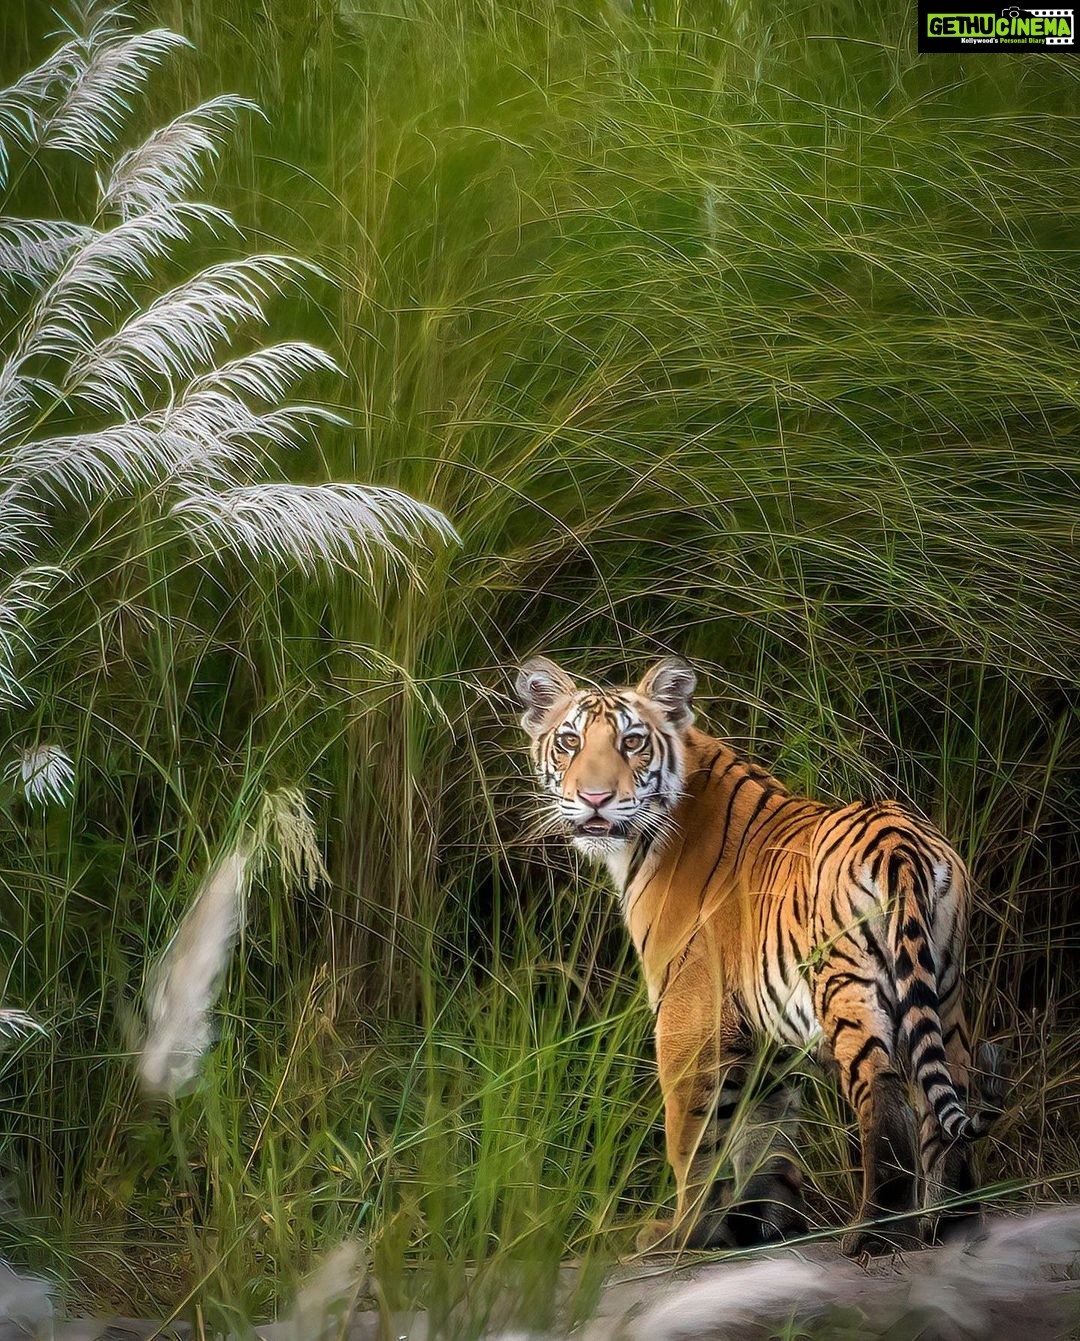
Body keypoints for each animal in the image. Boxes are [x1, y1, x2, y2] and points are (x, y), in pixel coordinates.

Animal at [515, 654, 1000, 1256]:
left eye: (632, 742)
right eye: (569, 741)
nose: (595, 799)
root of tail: (897, 837)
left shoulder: (688, 1017)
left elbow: (692, 1141)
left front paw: (684, 1234)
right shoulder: (764, 1036)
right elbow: (762, 1137)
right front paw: (760, 1226)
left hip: (848, 987)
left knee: (884, 1093)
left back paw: (874, 1236)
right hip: (946, 989)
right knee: (948, 1096)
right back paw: (952, 1225)